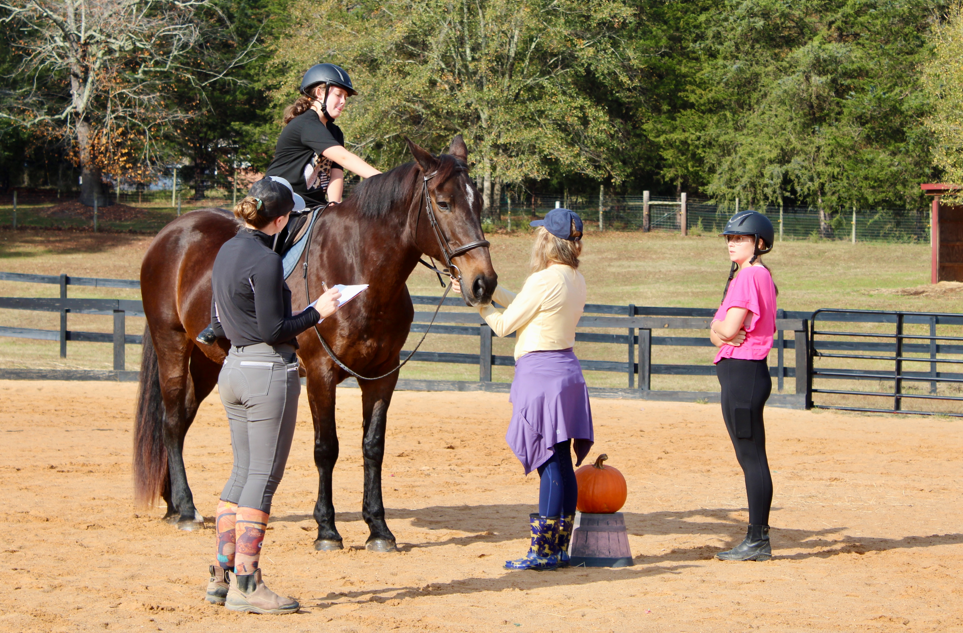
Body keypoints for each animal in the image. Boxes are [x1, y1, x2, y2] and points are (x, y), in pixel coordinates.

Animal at [133, 135, 497, 552]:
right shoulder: (321, 374)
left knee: (182, 419)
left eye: (478, 203)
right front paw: (327, 529)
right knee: (173, 420)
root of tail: (171, 232)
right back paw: (186, 509)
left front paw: (379, 529)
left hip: (209, 362)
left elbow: (373, 447)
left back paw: (172, 503)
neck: (359, 271)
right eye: (443, 203)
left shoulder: (382, 376)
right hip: (172, 345)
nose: (484, 283)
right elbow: (327, 448)